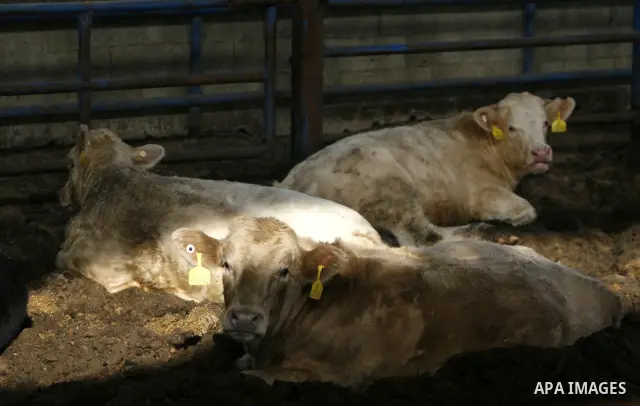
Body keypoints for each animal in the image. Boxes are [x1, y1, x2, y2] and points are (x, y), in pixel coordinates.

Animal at [274, 92, 576, 246]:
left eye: (546, 123)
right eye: (512, 128)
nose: (541, 153)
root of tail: (290, 181)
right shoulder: (482, 193)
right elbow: (527, 210)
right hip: (392, 189)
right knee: (422, 236)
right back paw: (484, 231)